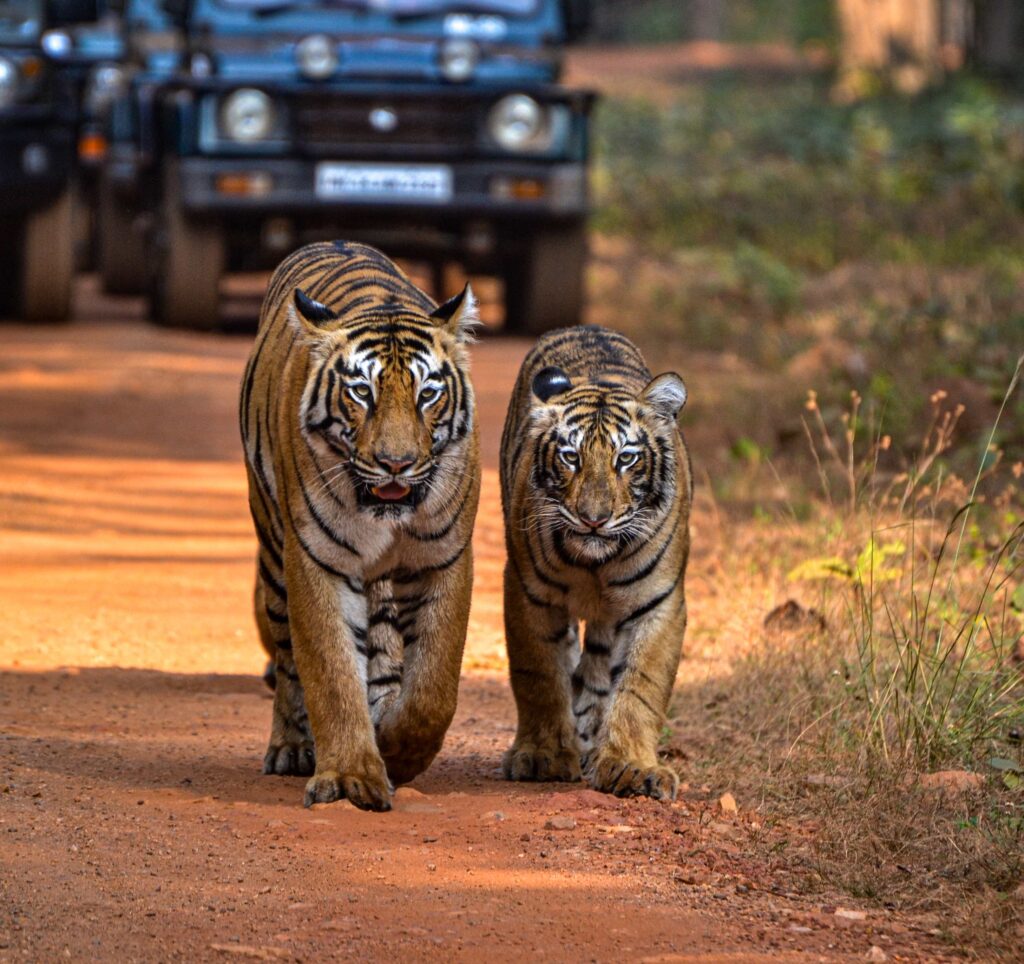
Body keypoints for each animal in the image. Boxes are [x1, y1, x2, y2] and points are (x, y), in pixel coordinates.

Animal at [239, 236, 479, 807]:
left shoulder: (443, 556)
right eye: (361, 392)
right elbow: (330, 671)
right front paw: (351, 776)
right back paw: (291, 747)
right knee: (288, 659)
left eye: (428, 394)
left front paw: (401, 751)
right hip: (273, 551)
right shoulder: (317, 559)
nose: (395, 463)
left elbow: (433, 684)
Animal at [495, 323, 688, 799]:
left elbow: (641, 686)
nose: (594, 518)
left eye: (626, 458)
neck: (596, 564)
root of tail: (585, 325)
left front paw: (632, 766)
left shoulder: (659, 603)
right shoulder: (529, 593)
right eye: (571, 457)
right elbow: (539, 674)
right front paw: (544, 755)